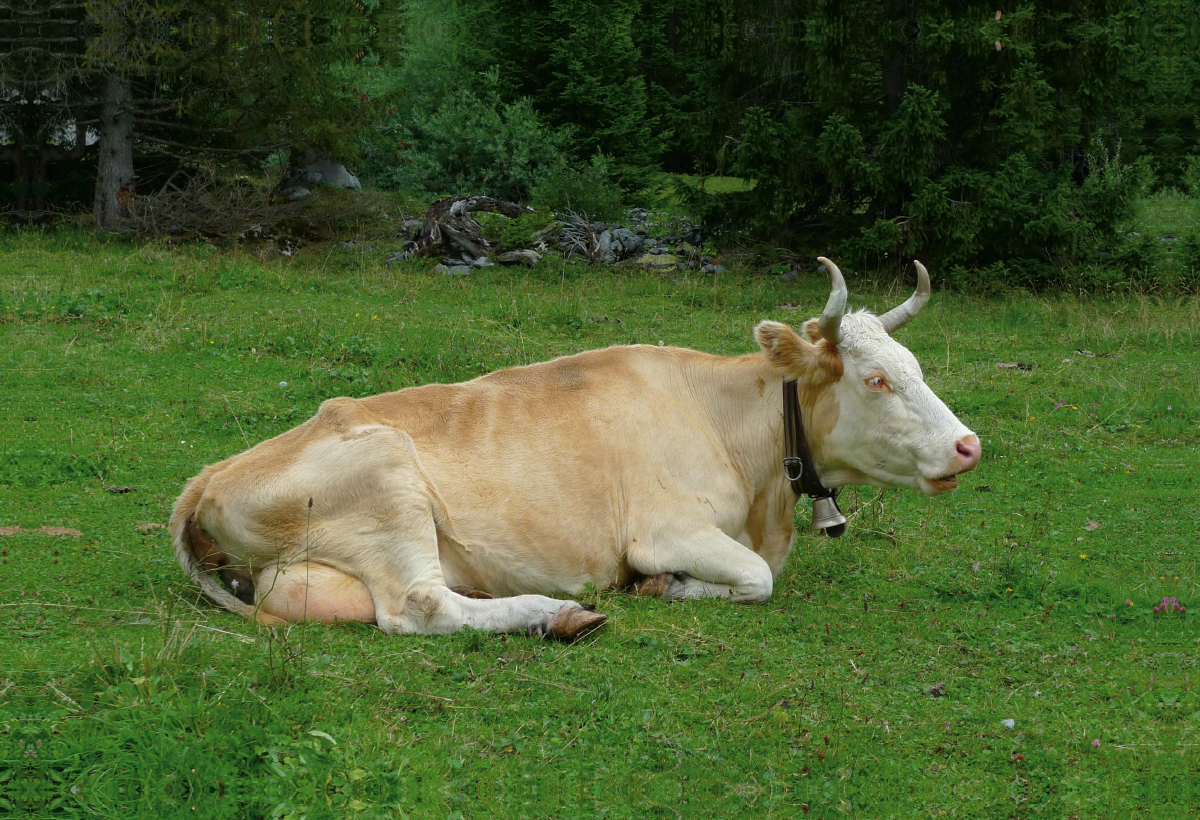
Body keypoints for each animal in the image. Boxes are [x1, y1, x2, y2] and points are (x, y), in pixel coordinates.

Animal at [166, 259, 974, 638]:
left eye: (914, 366)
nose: (969, 447)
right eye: (875, 379)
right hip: (389, 481)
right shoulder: (664, 529)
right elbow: (756, 579)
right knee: (420, 608)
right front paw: (664, 587)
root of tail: (208, 476)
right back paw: (556, 613)